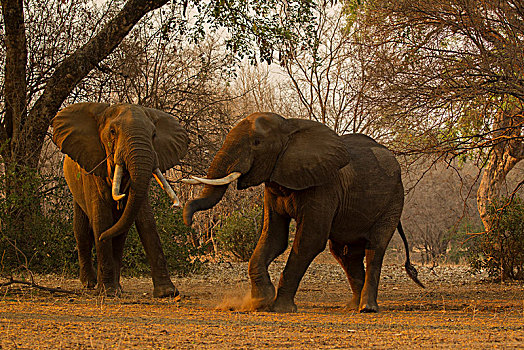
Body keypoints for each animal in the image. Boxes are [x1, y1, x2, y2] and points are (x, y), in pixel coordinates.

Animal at [52, 102, 188, 296]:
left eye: (154, 135)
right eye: (112, 132)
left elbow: (146, 221)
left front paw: (167, 293)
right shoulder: (94, 166)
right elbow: (102, 220)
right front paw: (107, 292)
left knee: (119, 233)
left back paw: (117, 287)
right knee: (82, 230)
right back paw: (91, 284)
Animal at [182, 111, 424, 312]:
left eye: (257, 143)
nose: (187, 221)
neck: (289, 128)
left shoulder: (324, 185)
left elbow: (308, 240)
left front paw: (279, 308)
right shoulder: (274, 184)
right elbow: (274, 237)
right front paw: (260, 302)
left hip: (393, 201)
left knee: (374, 248)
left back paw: (367, 308)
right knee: (344, 253)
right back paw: (351, 307)